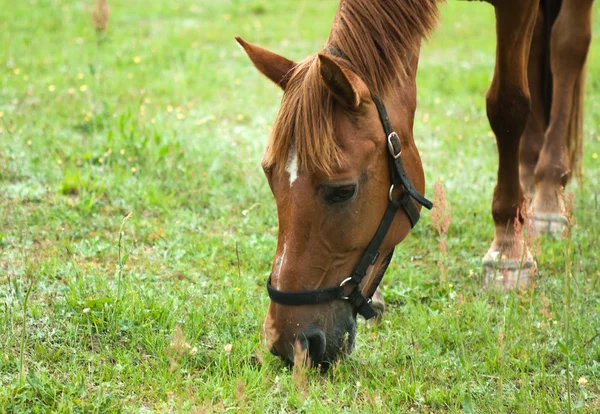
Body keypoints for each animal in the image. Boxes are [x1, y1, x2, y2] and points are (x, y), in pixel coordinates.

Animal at [234, 0, 592, 366]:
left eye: (343, 190)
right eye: (270, 177)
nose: (287, 342)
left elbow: (508, 106)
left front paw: (508, 246)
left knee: (567, 48)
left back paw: (547, 195)